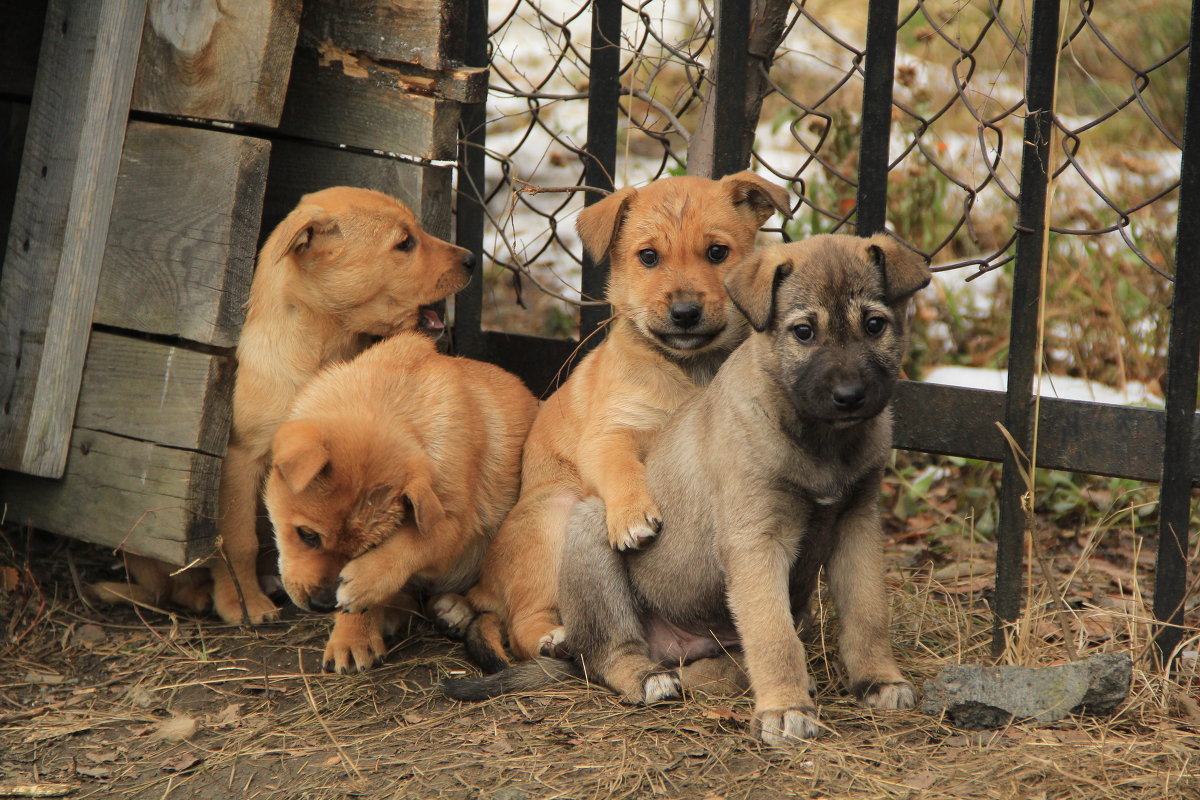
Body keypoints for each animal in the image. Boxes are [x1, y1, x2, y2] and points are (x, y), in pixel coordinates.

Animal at [90, 189, 472, 623]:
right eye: (405, 243)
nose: (472, 260)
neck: (320, 349)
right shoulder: (242, 459)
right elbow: (239, 540)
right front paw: (242, 604)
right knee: (164, 586)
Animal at [270, 328, 542, 671]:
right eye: (307, 535)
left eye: (370, 549)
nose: (321, 604)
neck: (388, 397)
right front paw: (352, 637)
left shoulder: (452, 525)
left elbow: (407, 547)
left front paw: (362, 588)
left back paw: (455, 609)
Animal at [446, 235, 931, 748]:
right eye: (803, 332)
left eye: (875, 325)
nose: (849, 396)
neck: (820, 439)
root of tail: (672, 648)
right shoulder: (755, 540)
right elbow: (773, 635)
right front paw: (786, 709)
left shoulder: (858, 525)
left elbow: (867, 613)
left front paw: (878, 679)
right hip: (589, 528)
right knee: (605, 653)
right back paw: (643, 676)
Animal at [458, 173, 787, 671]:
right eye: (648, 257)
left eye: (717, 252)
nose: (685, 313)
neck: (690, 369)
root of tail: (481, 585)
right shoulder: (609, 433)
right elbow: (622, 468)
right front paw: (632, 517)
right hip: (554, 514)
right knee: (522, 624)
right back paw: (553, 639)